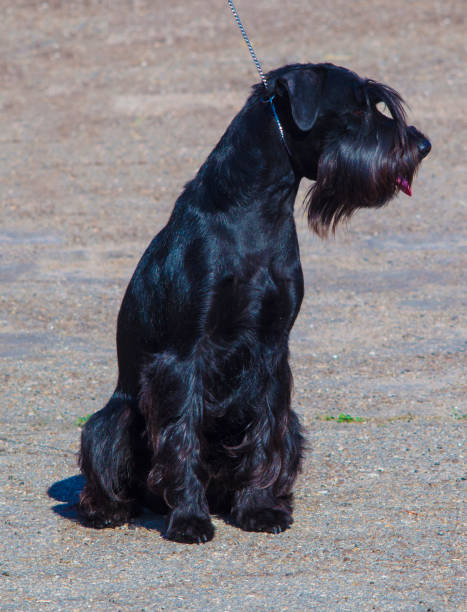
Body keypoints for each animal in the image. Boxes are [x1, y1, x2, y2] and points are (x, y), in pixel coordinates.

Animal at [77, 63, 432, 540]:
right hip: (110, 420)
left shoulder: (271, 348)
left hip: (293, 422)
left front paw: (260, 508)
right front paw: (189, 518)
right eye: (358, 108)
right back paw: (109, 509)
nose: (422, 146)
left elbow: (266, 430)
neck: (256, 213)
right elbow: (181, 434)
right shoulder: (184, 354)